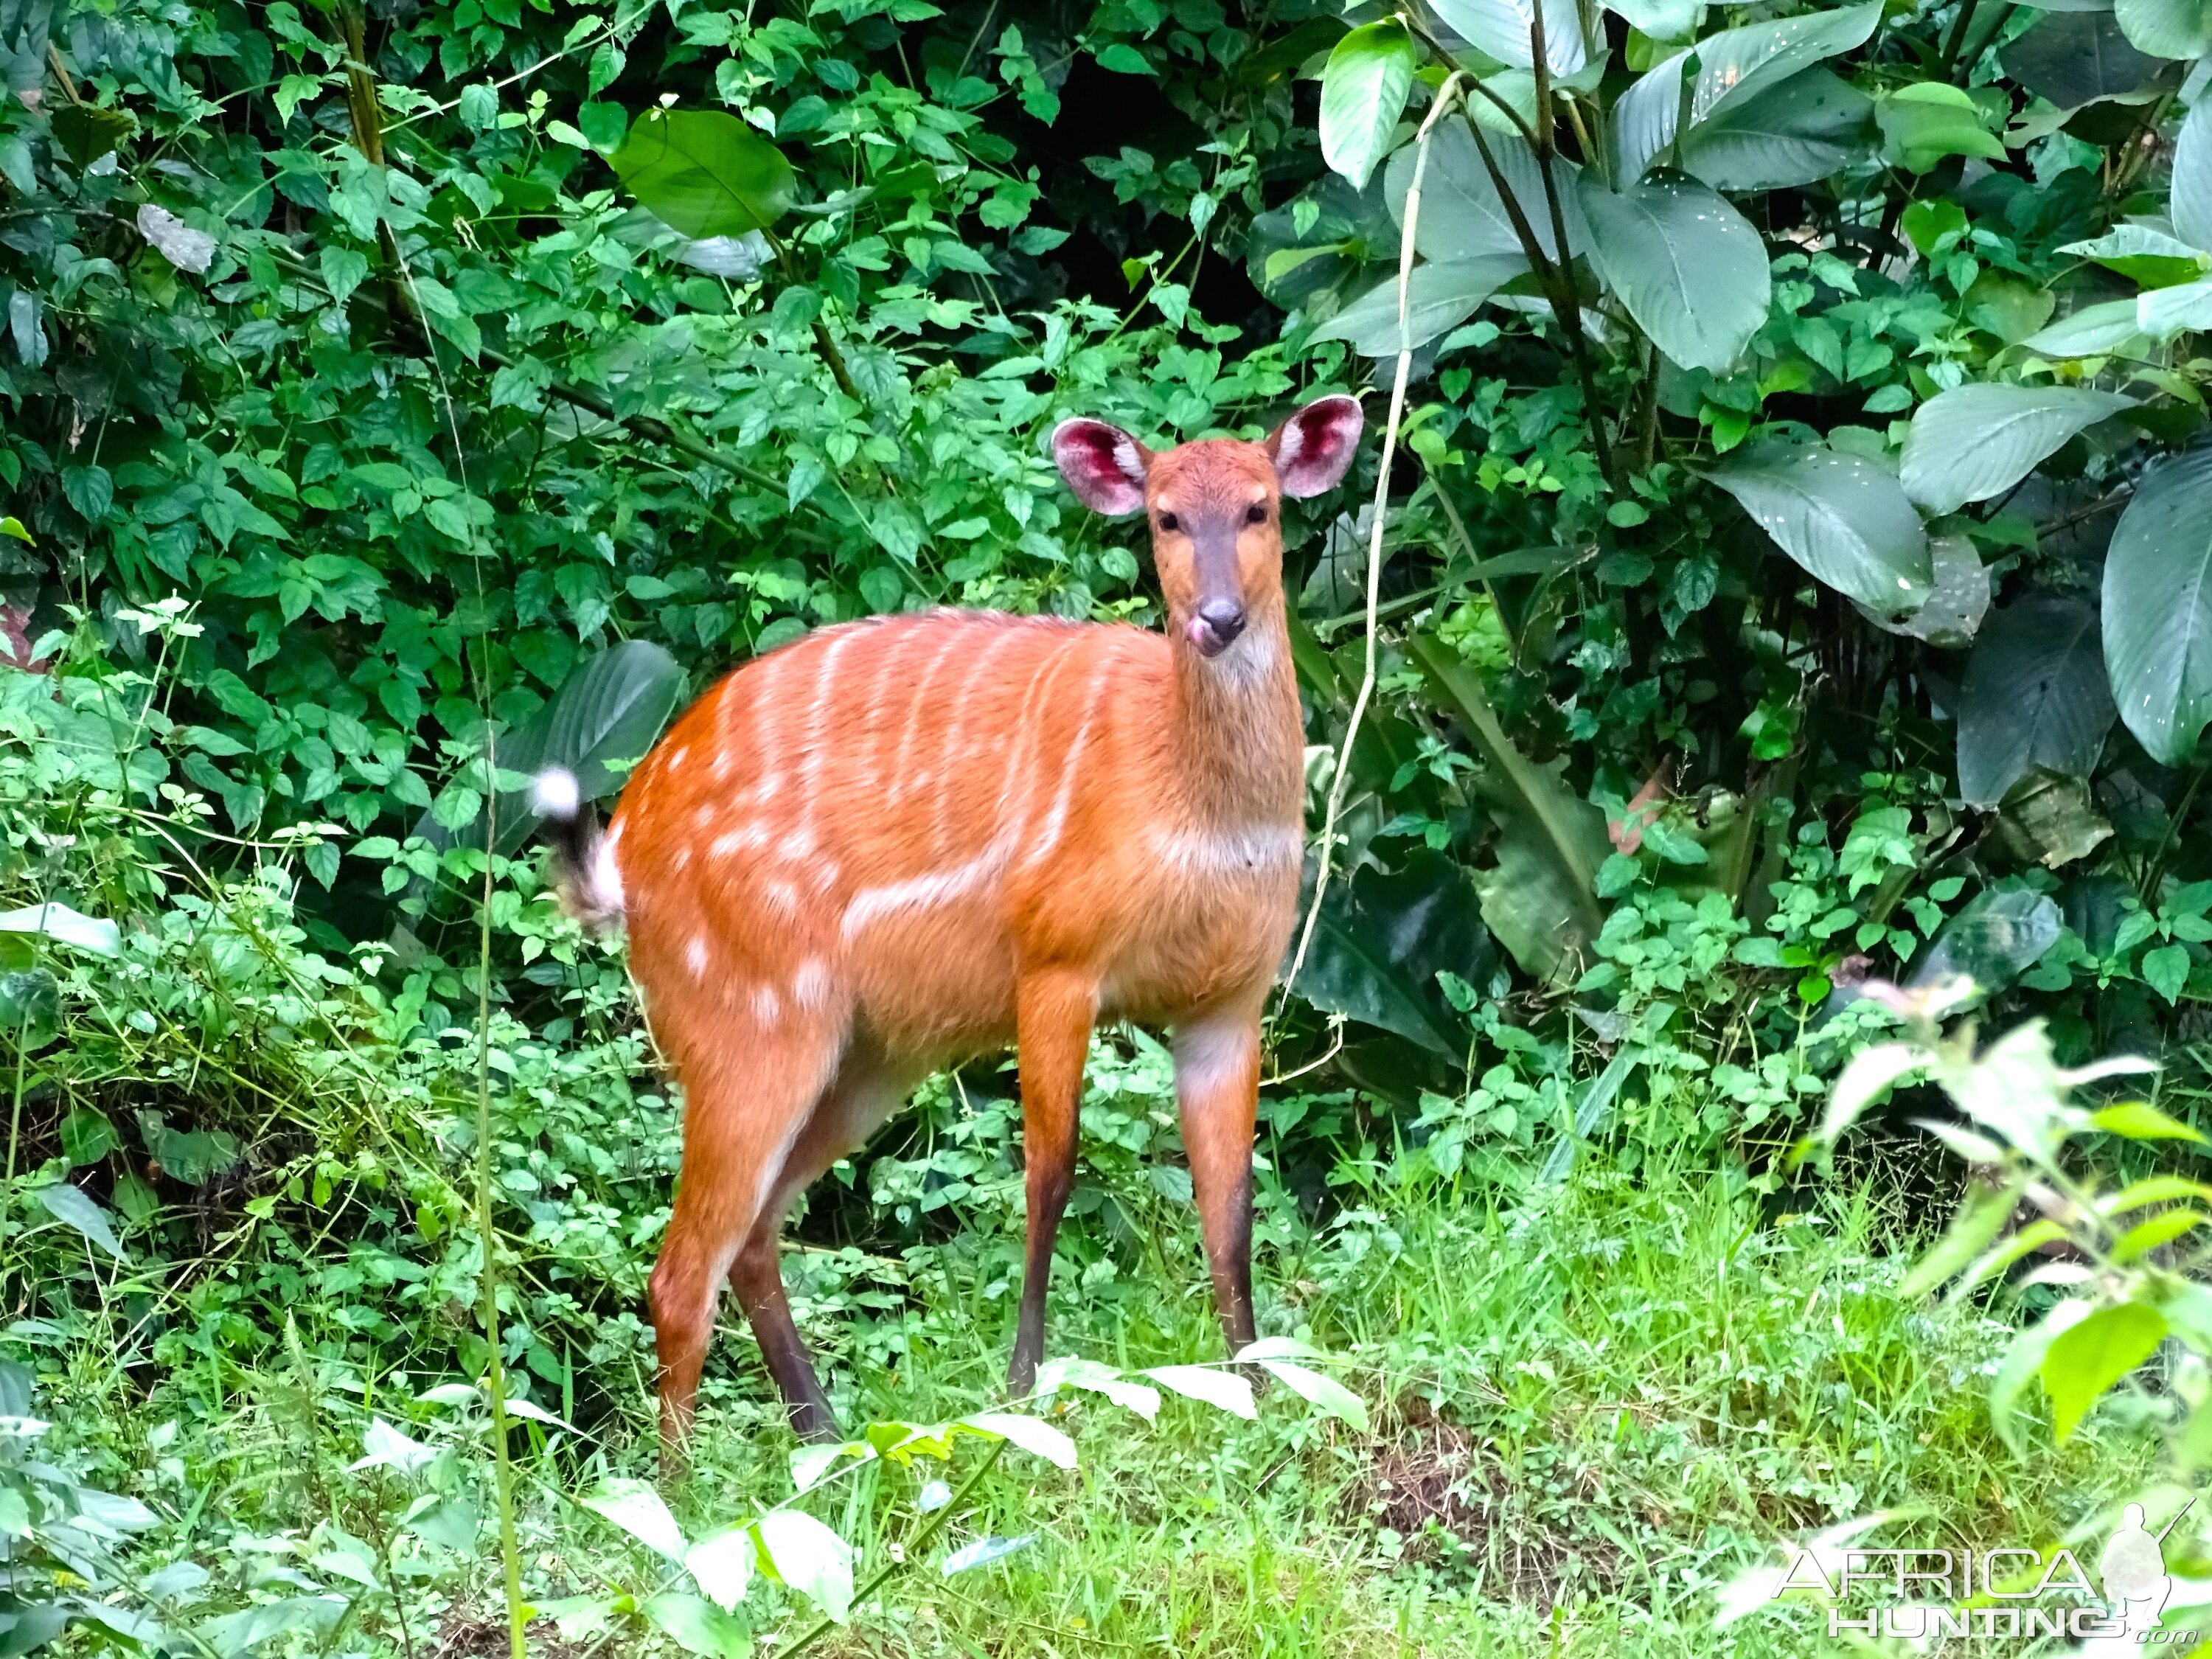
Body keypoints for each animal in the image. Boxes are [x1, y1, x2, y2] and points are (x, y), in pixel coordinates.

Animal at [535, 396, 1363, 1451]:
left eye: (1260, 508)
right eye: (1166, 518)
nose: (1217, 620)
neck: (1192, 804)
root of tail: (626, 854)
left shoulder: (1231, 997)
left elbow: (1231, 1198)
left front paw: (1254, 1385)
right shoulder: (1056, 956)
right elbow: (1050, 1172)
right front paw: (1020, 1389)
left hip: (867, 1052)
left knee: (754, 1235)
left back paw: (824, 1437)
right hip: (747, 1019)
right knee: (682, 1268)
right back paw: (678, 1481)